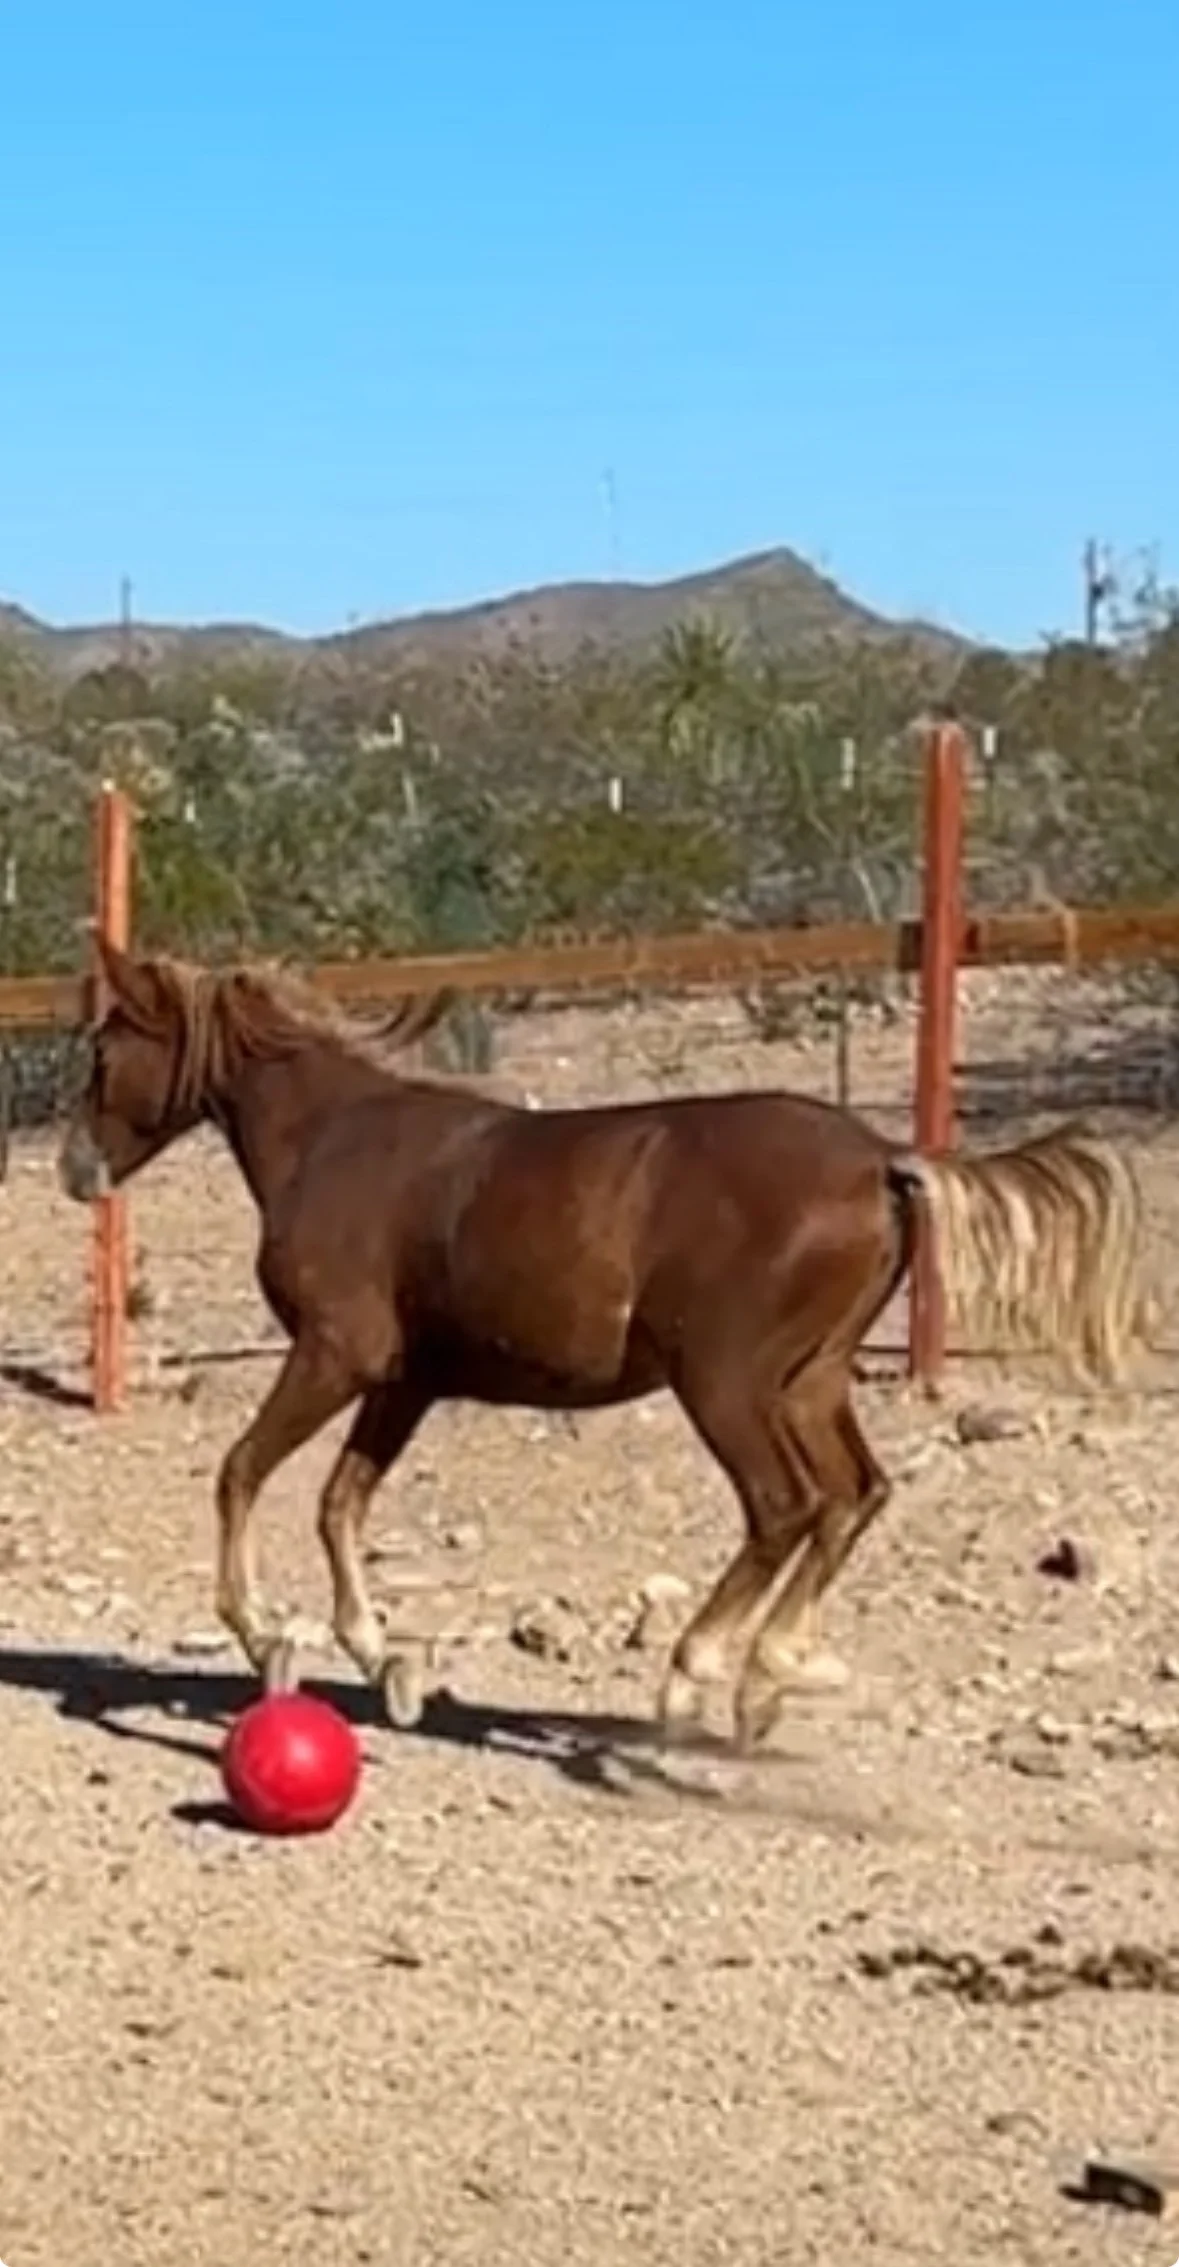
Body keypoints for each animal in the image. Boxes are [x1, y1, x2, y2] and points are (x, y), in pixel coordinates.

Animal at [58, 938, 1150, 1752]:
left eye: (103, 1050)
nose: (76, 1170)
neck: (333, 1138)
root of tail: (883, 1160)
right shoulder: (404, 1381)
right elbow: (340, 1503)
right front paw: (384, 1659)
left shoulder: (336, 1355)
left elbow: (242, 1472)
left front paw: (263, 1638)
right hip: (809, 1381)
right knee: (854, 1495)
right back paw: (764, 1680)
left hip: (725, 1382)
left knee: (785, 1506)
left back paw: (689, 1680)